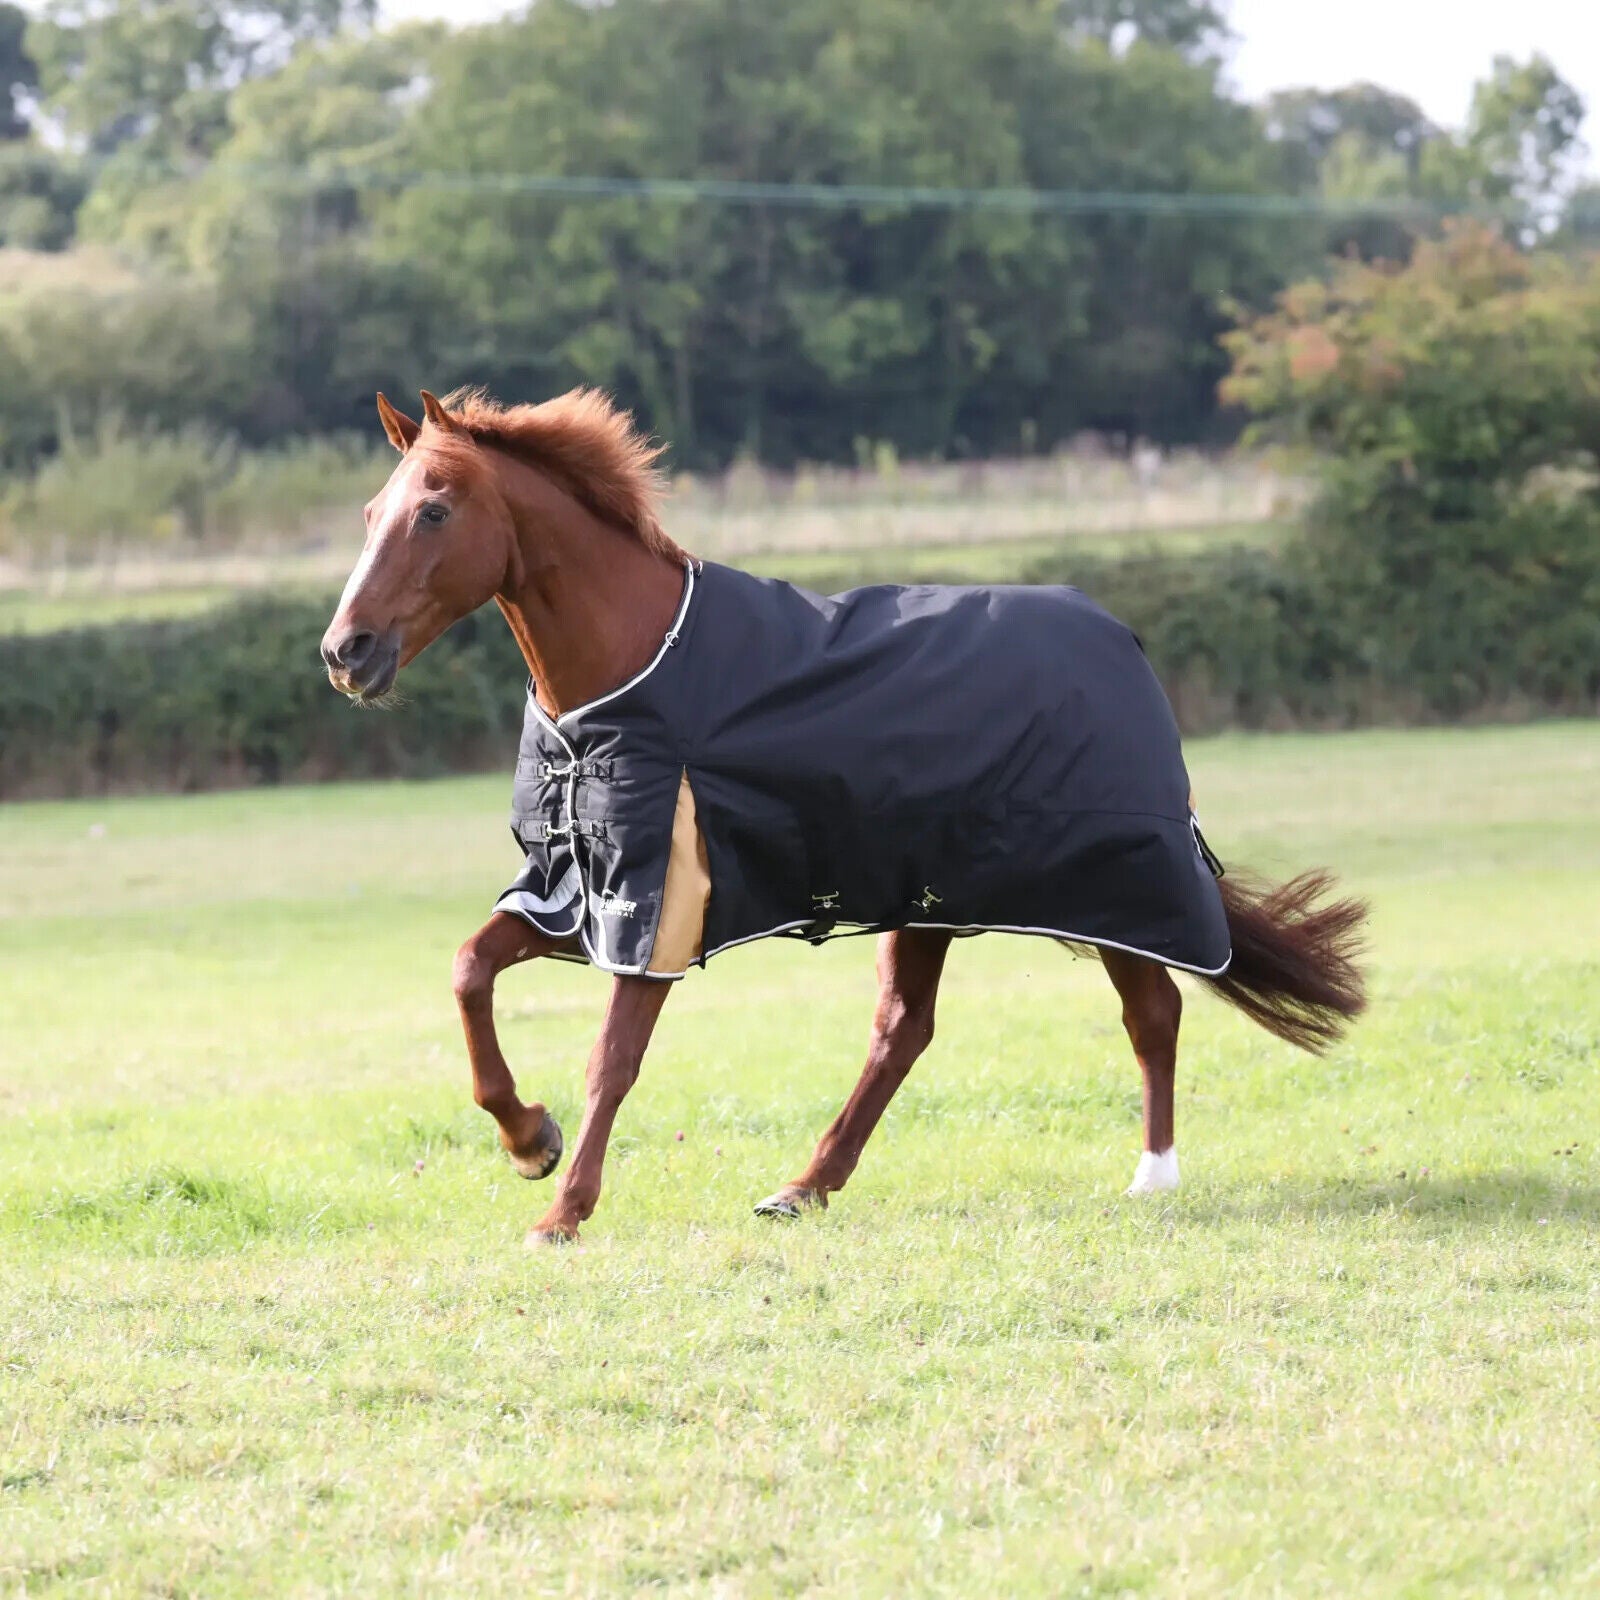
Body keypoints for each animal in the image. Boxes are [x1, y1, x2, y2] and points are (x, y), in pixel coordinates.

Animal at [321, 387, 1367, 1245]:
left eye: (434, 509)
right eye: (370, 512)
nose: (346, 651)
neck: (634, 671)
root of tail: (1121, 637)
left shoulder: (659, 904)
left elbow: (612, 1059)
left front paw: (562, 1210)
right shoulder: (577, 893)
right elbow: (470, 970)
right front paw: (529, 1139)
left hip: (1111, 881)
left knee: (1151, 1010)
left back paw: (1151, 1176)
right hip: (937, 896)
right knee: (905, 1031)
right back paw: (804, 1187)